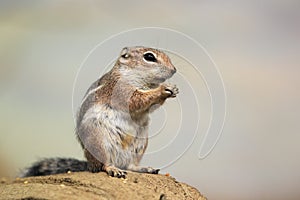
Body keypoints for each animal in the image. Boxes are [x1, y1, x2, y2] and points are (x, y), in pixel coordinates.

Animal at [21, 45, 178, 178]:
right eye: (149, 57)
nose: (174, 70)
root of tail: (90, 165)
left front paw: (173, 90)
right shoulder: (120, 90)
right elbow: (136, 100)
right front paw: (163, 89)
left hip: (140, 145)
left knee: (130, 166)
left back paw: (145, 168)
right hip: (99, 141)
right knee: (104, 165)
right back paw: (113, 169)